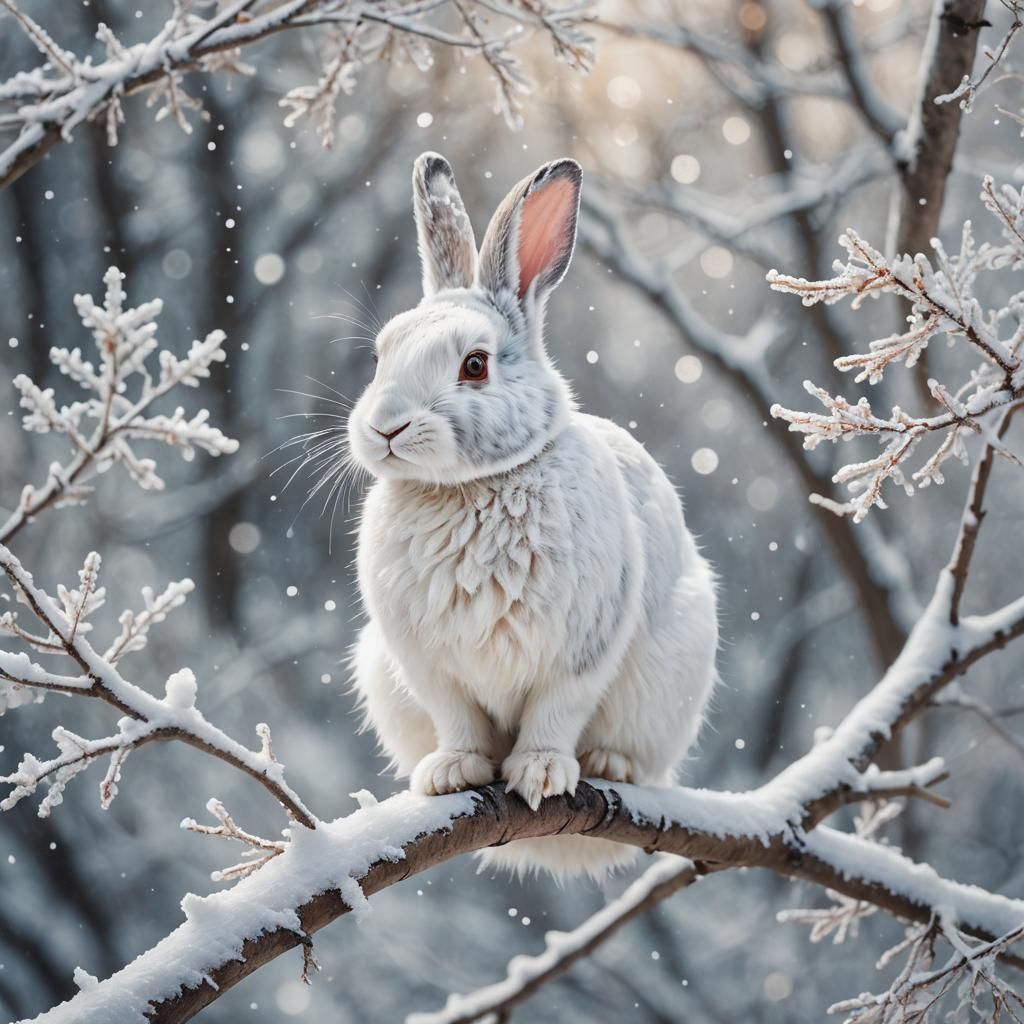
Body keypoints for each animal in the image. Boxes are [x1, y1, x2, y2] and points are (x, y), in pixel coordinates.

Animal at [347, 151, 718, 878]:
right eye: (380, 357)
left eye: (475, 365)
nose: (385, 428)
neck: (473, 486)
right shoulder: (427, 665)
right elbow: (457, 717)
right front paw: (453, 771)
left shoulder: (581, 649)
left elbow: (556, 712)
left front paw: (542, 775)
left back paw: (608, 764)